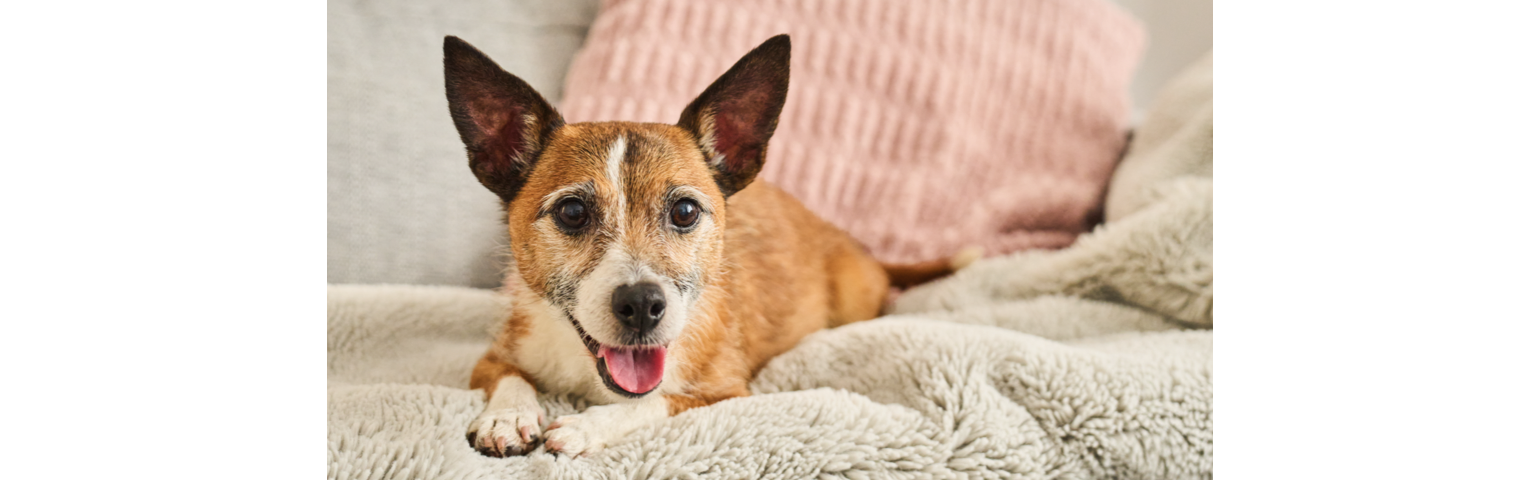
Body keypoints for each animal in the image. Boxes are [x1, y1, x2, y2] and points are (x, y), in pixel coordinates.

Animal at [449, 34, 973, 458]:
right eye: (572, 213)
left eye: (684, 211)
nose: (642, 304)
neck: (590, 373)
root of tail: (856, 246)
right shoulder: (497, 355)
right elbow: (510, 377)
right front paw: (507, 415)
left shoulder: (723, 393)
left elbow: (657, 402)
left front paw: (587, 428)